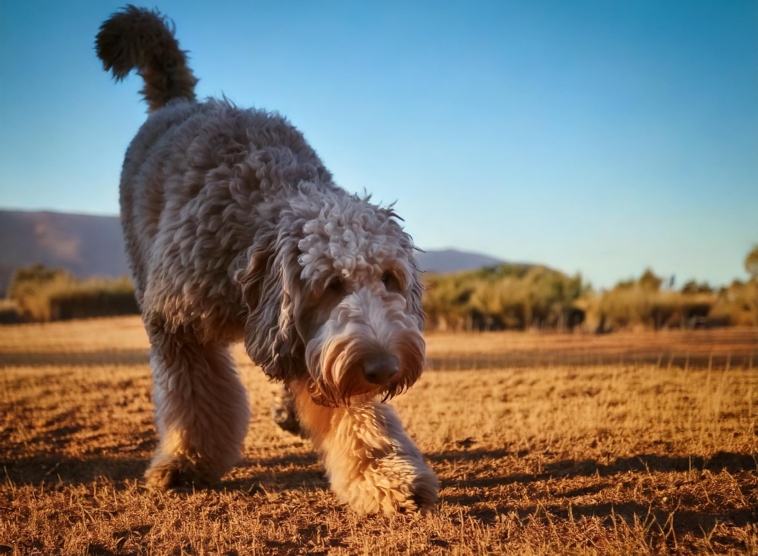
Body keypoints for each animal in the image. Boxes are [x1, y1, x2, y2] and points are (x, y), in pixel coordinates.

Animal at [95, 6, 440, 516]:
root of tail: (177, 102)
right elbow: (195, 405)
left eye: (389, 278)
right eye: (331, 284)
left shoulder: (322, 348)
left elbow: (356, 413)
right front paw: (188, 463)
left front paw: (385, 475)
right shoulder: (178, 325)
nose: (384, 368)